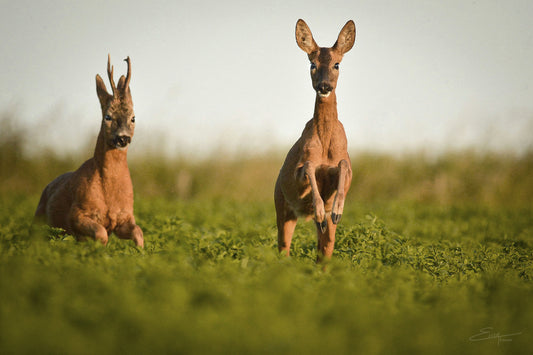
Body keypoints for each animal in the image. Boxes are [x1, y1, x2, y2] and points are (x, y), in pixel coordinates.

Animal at [35, 55, 143, 249]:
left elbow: (139, 233)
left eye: (133, 117)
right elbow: (101, 234)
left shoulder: (125, 216)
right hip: (38, 219)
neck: (109, 193)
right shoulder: (77, 213)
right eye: (108, 116)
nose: (123, 138)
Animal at [274, 20, 358, 262]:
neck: (326, 144)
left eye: (337, 64)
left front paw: (336, 210)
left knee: (324, 253)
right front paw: (320, 210)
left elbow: (343, 165)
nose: (324, 86)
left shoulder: (346, 166)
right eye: (312, 64)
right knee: (283, 249)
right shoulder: (300, 170)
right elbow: (309, 166)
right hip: (282, 208)